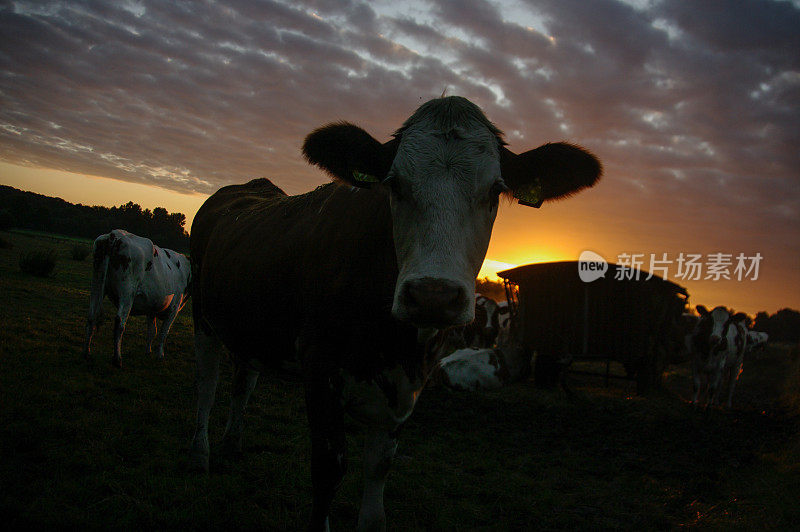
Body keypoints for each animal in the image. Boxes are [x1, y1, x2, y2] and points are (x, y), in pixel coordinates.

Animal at [83, 229, 191, 370]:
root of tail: (115, 234)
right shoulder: (174, 308)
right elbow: (163, 332)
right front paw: (160, 355)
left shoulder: (152, 308)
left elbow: (152, 331)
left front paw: (148, 351)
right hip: (128, 291)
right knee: (119, 322)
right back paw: (117, 360)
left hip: (97, 282)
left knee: (92, 315)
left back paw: (87, 353)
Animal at [188, 96, 600, 532]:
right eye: (395, 183)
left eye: (494, 190)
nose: (433, 296)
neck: (394, 343)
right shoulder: (319, 367)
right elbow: (328, 470)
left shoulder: (407, 387)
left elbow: (379, 472)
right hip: (202, 315)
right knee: (207, 384)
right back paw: (201, 455)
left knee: (243, 380)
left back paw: (232, 444)